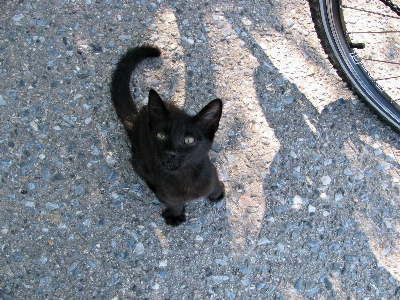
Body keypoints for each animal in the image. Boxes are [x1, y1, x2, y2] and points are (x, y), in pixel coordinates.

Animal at [111, 45, 225, 226]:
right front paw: (175, 216)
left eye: (189, 140)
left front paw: (218, 194)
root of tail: (137, 119)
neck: (185, 178)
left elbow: (214, 186)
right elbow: (174, 203)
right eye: (160, 136)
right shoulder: (166, 192)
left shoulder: (211, 172)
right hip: (139, 162)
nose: (169, 152)